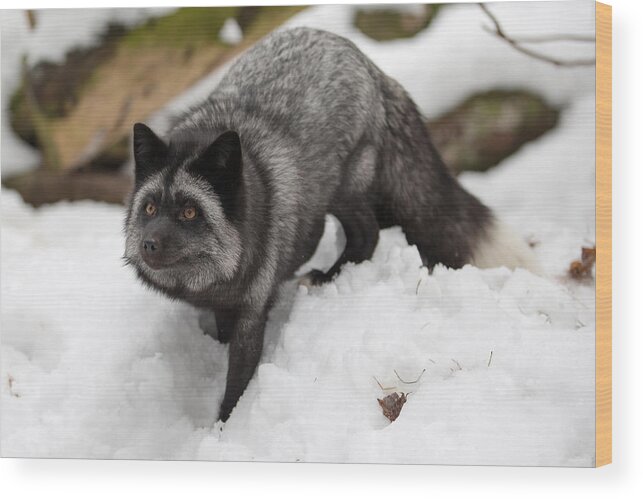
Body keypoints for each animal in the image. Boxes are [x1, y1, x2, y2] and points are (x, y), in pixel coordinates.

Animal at [123, 27, 536, 422]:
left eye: (190, 212)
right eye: (150, 208)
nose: (149, 244)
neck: (211, 278)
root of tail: (367, 62)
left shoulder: (253, 311)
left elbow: (238, 382)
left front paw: (224, 427)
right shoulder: (223, 306)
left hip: (341, 187)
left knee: (368, 233)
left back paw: (328, 276)